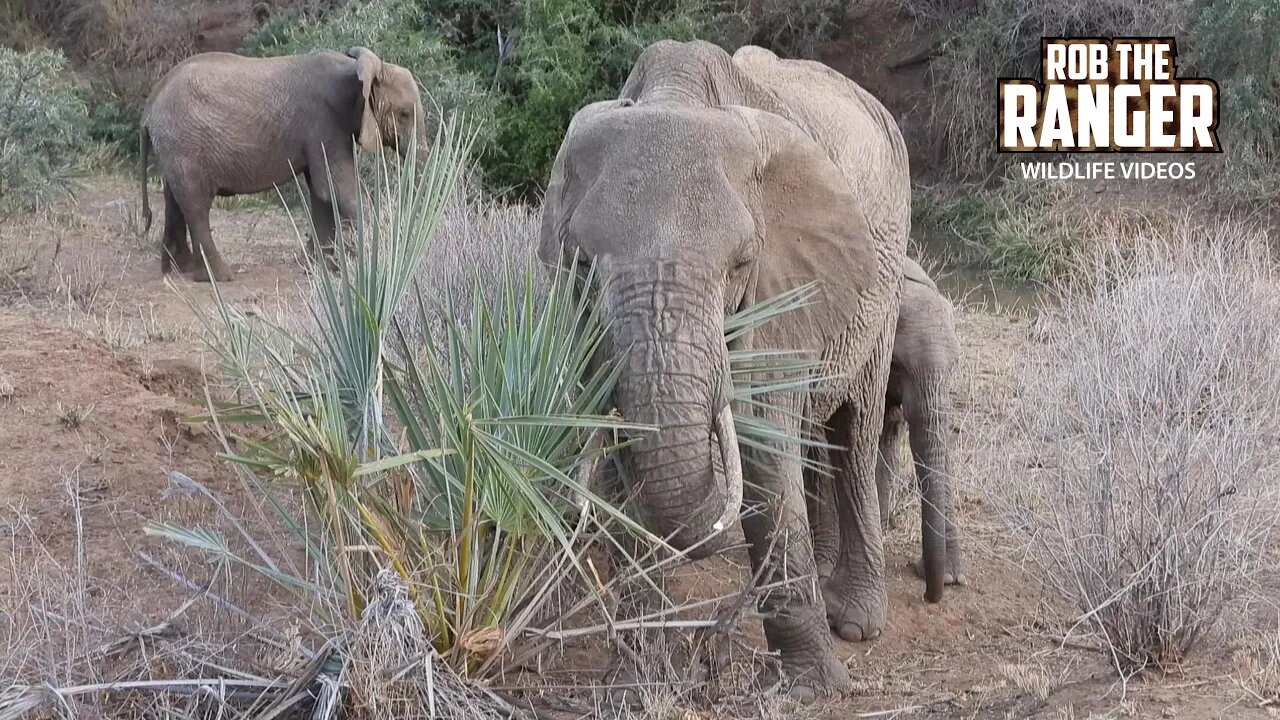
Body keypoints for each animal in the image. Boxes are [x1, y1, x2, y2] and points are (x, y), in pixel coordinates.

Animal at [537, 39, 911, 696]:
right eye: (581, 263)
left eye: (740, 264)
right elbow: (621, 467)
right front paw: (632, 687)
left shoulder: (780, 290)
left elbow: (764, 457)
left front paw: (810, 689)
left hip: (881, 296)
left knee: (853, 434)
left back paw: (856, 619)